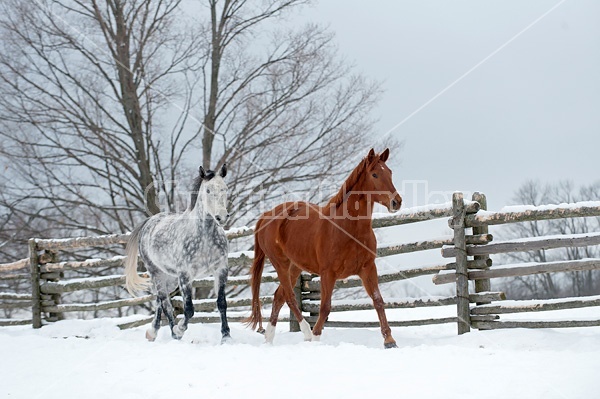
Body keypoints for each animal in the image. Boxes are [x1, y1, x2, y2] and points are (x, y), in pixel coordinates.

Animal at [246, 148, 406, 348]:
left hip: (294, 267)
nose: (396, 202)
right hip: (280, 264)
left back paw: (269, 337)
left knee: (279, 296)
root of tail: (266, 215)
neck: (347, 228)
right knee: (290, 297)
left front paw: (389, 341)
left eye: (390, 173)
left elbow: (378, 301)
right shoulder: (328, 273)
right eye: (375, 174)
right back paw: (306, 333)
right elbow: (325, 306)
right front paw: (316, 337)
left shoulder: (368, 268)